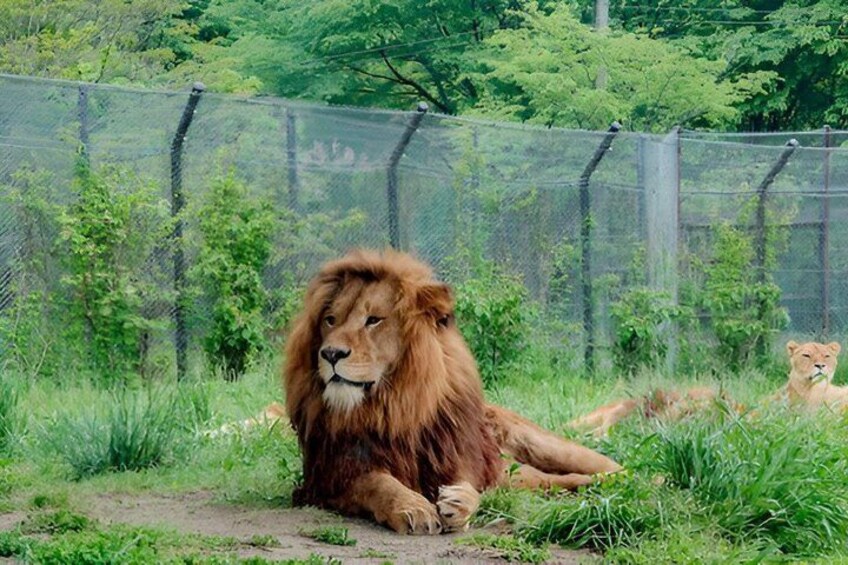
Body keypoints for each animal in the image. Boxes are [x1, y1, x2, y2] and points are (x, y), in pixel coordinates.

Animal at [284, 249, 622, 535]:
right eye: (330, 320)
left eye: (373, 320)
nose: (330, 353)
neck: (396, 406)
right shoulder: (332, 476)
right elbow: (379, 483)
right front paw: (412, 507)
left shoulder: (461, 458)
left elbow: (472, 486)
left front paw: (459, 502)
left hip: (549, 448)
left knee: (610, 466)